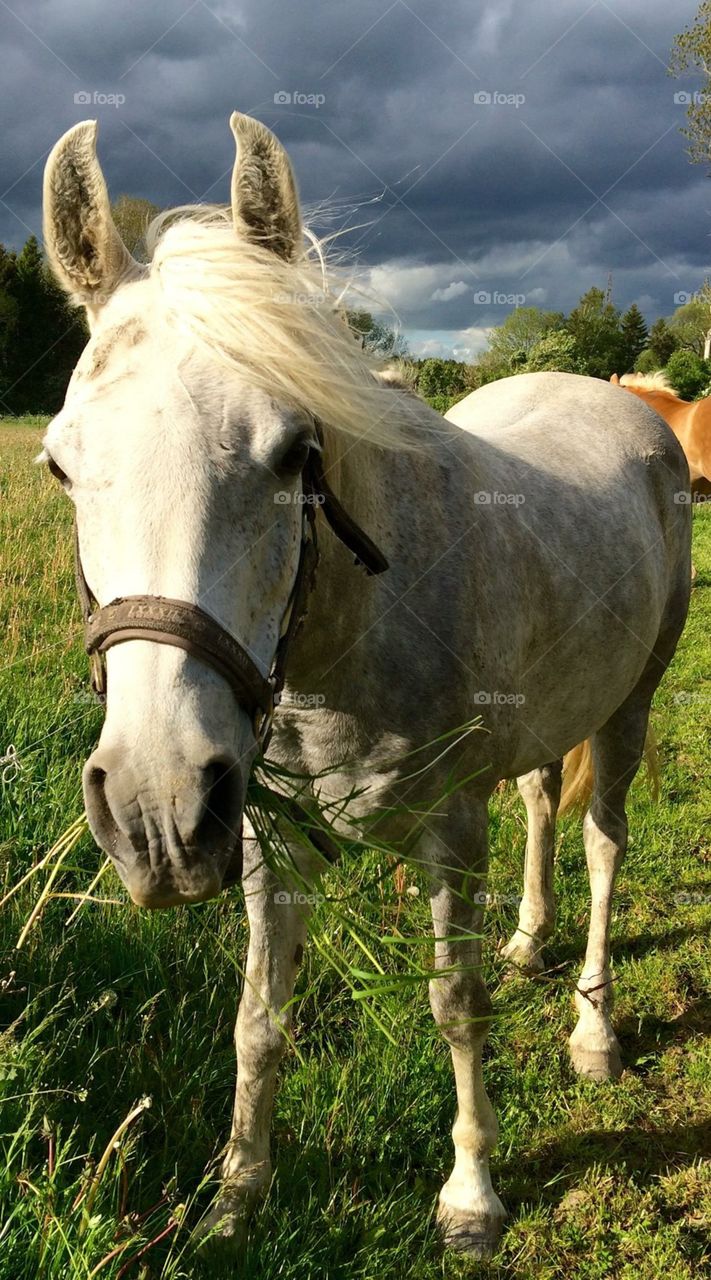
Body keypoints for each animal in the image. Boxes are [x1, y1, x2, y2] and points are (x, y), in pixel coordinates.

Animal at [40, 112, 691, 1261]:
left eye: (296, 451)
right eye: (61, 466)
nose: (155, 810)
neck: (341, 646)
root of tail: (620, 401)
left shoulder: (449, 832)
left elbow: (454, 1004)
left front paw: (471, 1196)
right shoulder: (263, 836)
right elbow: (260, 1020)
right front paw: (236, 1195)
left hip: (628, 705)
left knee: (605, 843)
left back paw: (593, 1028)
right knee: (541, 801)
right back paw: (530, 942)